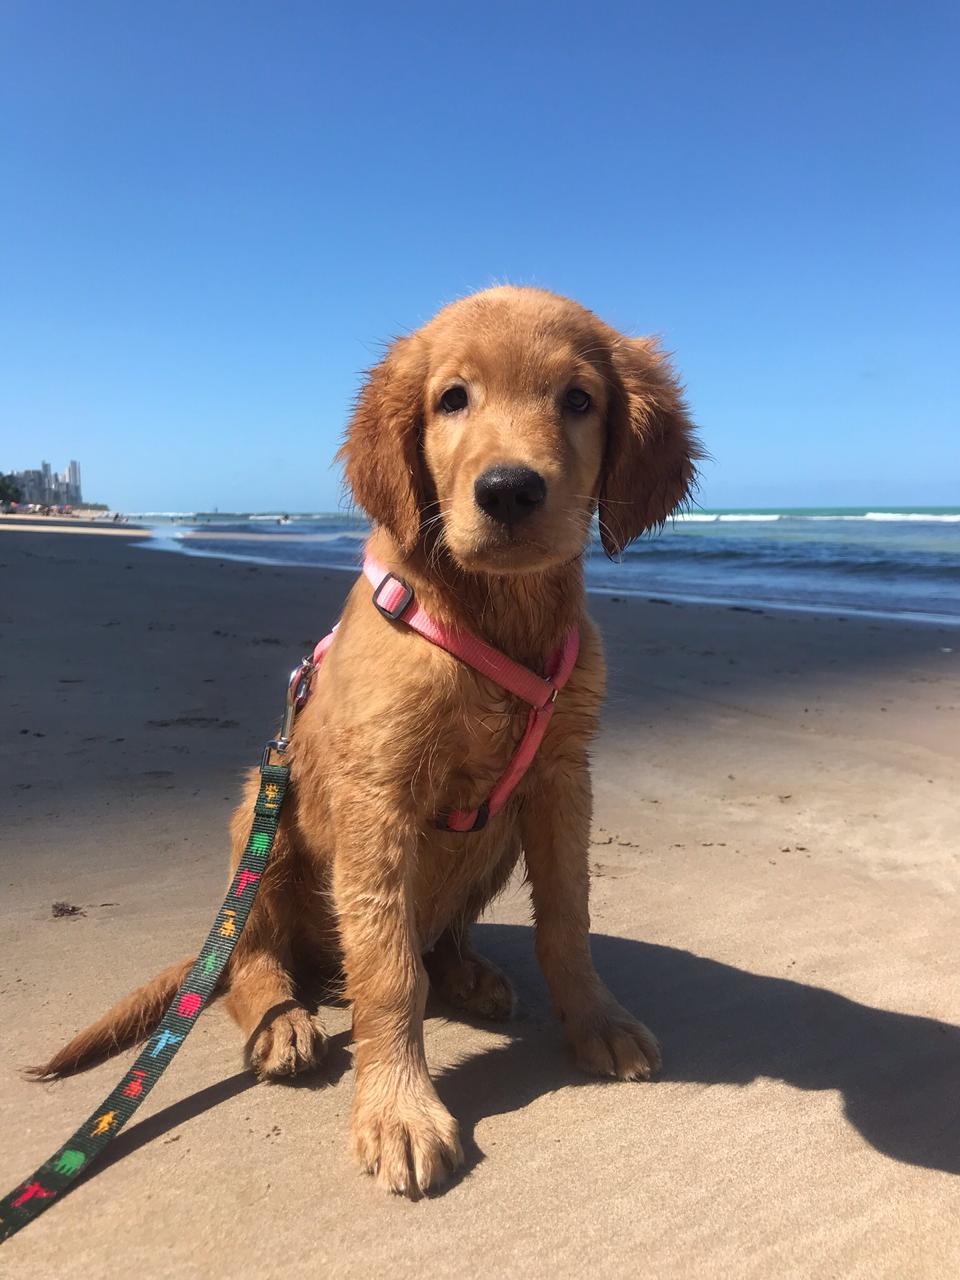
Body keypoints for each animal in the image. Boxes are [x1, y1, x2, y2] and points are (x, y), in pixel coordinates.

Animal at [35, 286, 699, 1197]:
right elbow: (388, 971)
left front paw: (597, 1019)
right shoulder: (376, 796)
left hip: (489, 840)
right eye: (452, 399)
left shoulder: (563, 777)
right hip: (262, 818)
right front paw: (398, 1109)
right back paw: (282, 1021)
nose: (509, 490)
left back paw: (468, 974)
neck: (490, 617)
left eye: (578, 400)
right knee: (247, 961)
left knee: (432, 939)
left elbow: (566, 917)